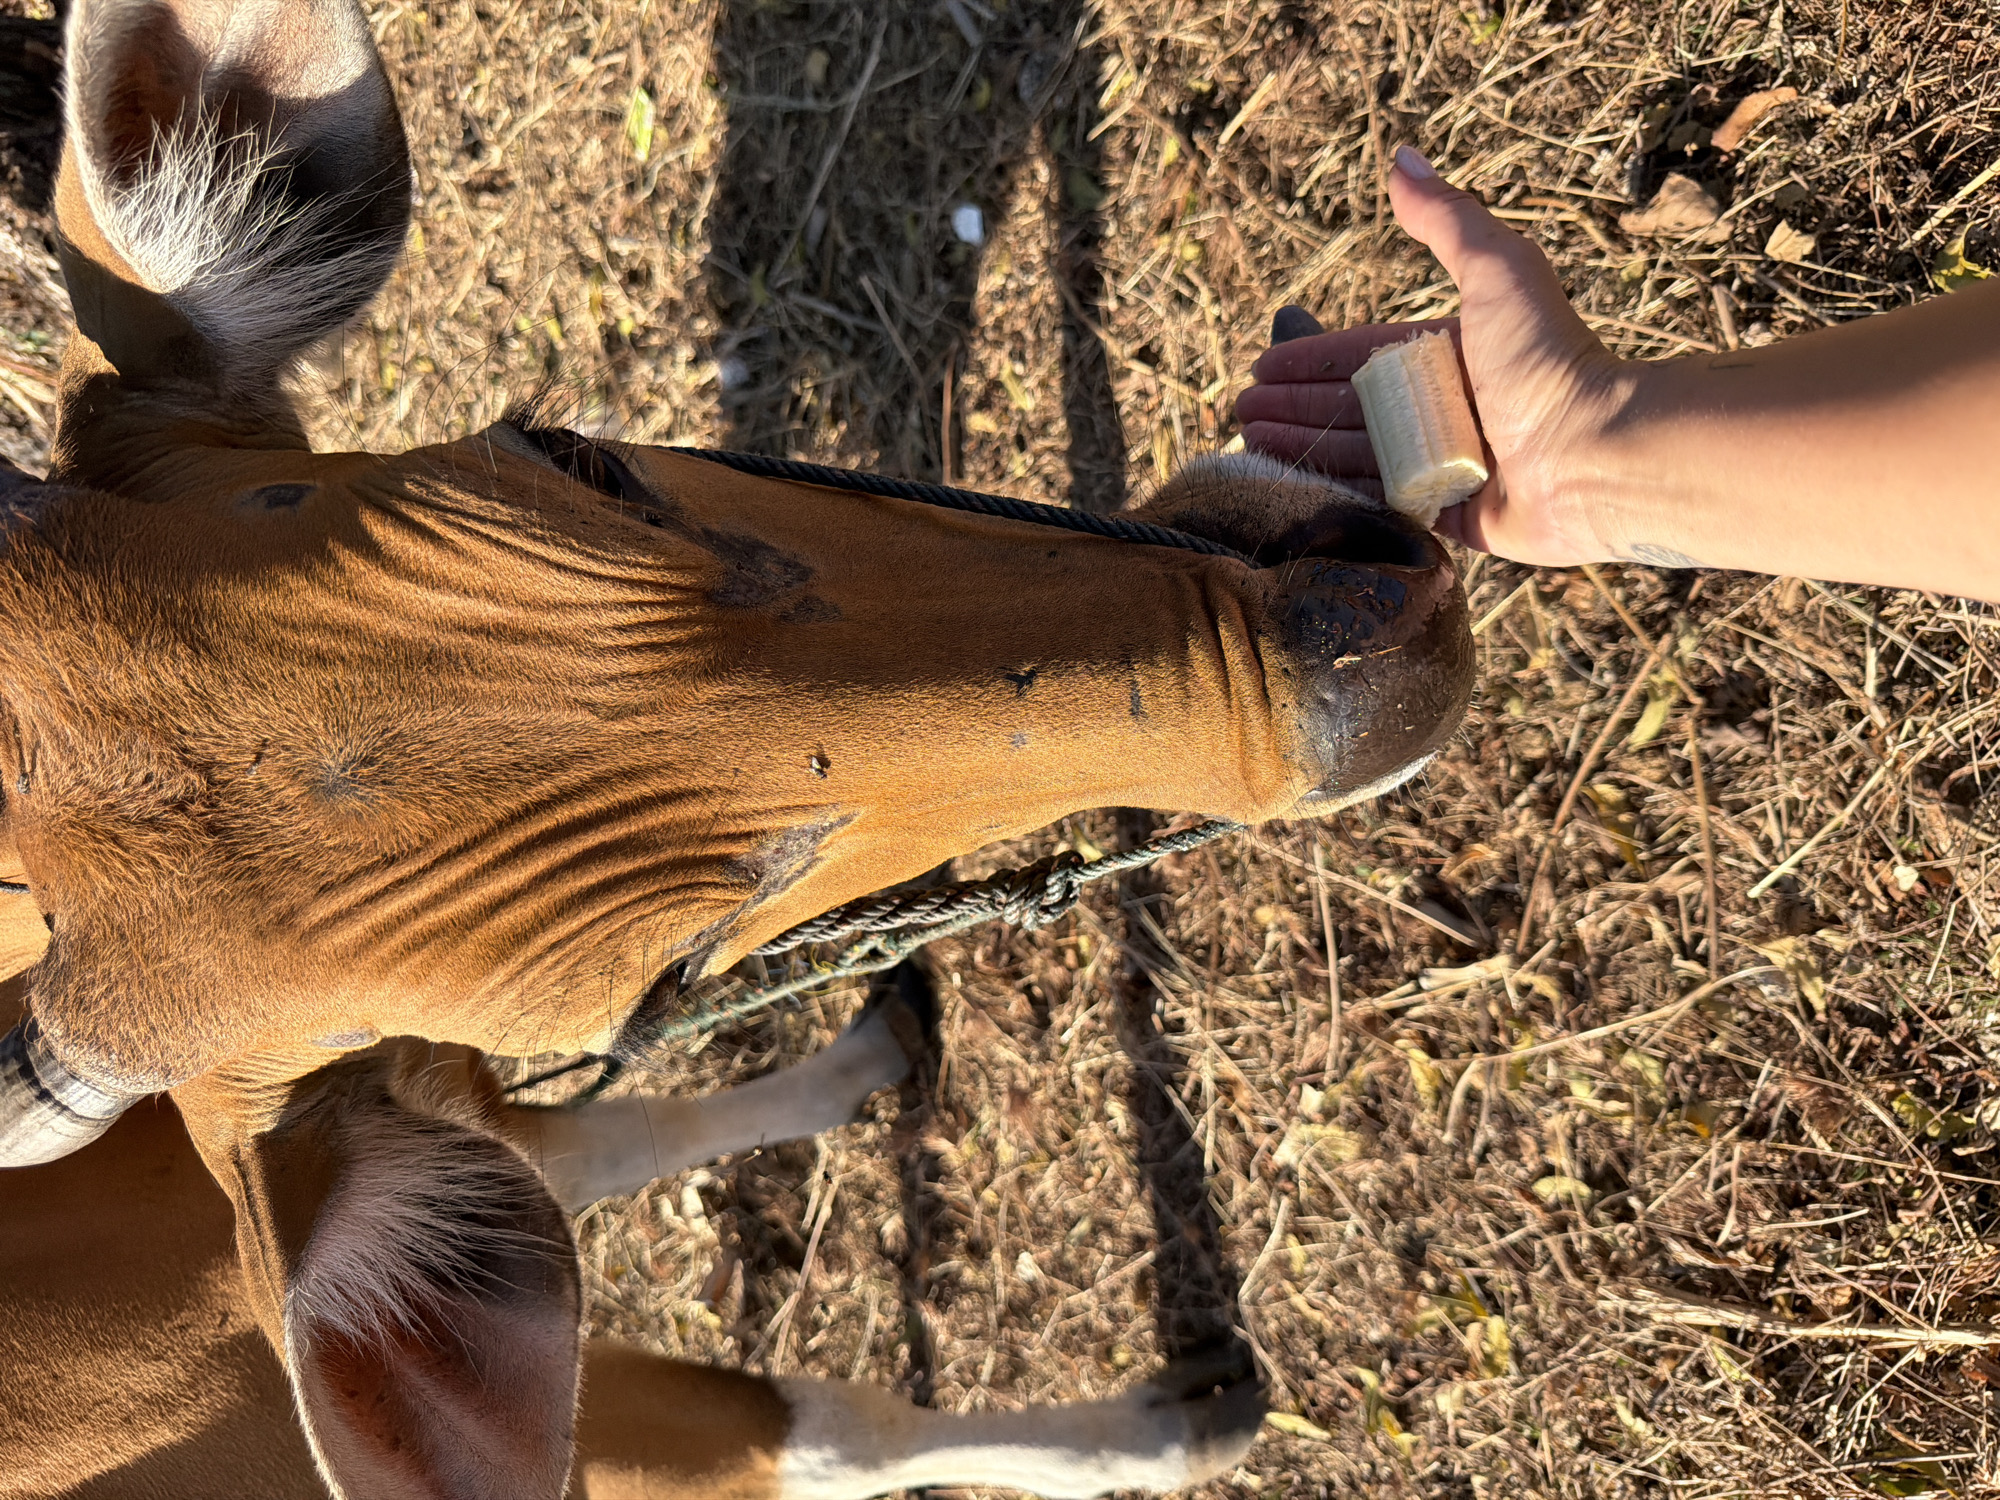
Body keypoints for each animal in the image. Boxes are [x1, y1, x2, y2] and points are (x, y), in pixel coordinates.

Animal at [0, 0, 1474, 1492]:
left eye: (573, 451)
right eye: (662, 978)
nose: (1361, 664)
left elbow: (622, 1131)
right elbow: (841, 1425)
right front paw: (1182, 1420)